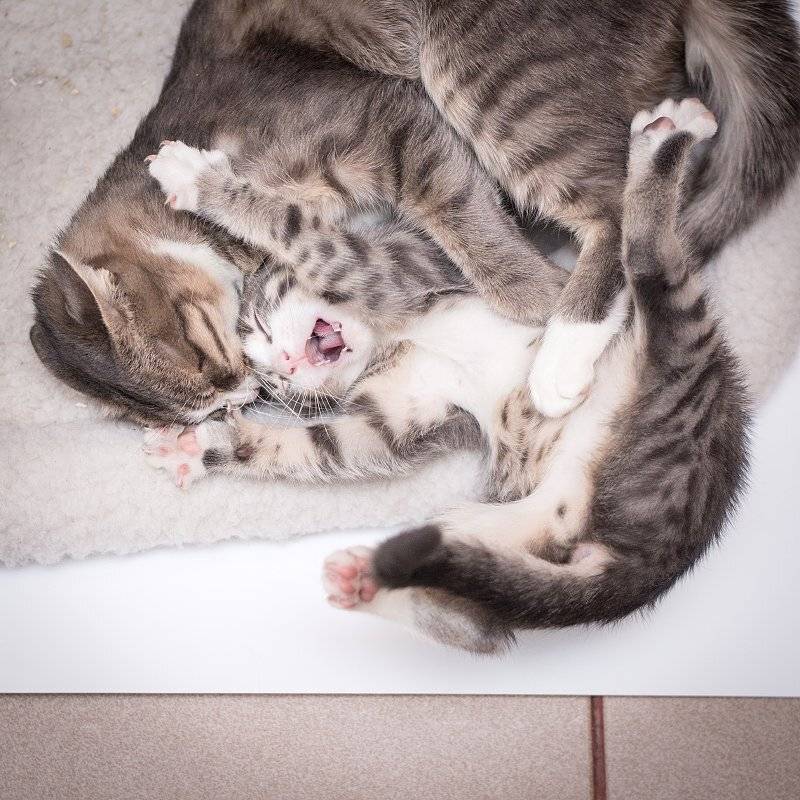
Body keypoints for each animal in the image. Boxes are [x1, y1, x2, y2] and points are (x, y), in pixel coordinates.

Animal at [30, 0, 799, 428]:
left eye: (200, 347)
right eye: (223, 410)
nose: (248, 386)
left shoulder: (391, 118)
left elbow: (457, 211)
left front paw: (532, 294)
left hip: (483, 61)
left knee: (610, 206)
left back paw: (565, 339)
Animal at [144, 100, 750, 653]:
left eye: (261, 325)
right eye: (272, 384)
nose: (285, 367)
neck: (392, 344)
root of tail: (657, 557)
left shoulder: (401, 268)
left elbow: (304, 233)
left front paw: (199, 180)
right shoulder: (400, 420)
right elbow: (326, 447)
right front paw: (201, 446)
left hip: (678, 366)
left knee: (651, 264)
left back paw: (666, 143)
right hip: (494, 529)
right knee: (478, 623)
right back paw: (366, 583)